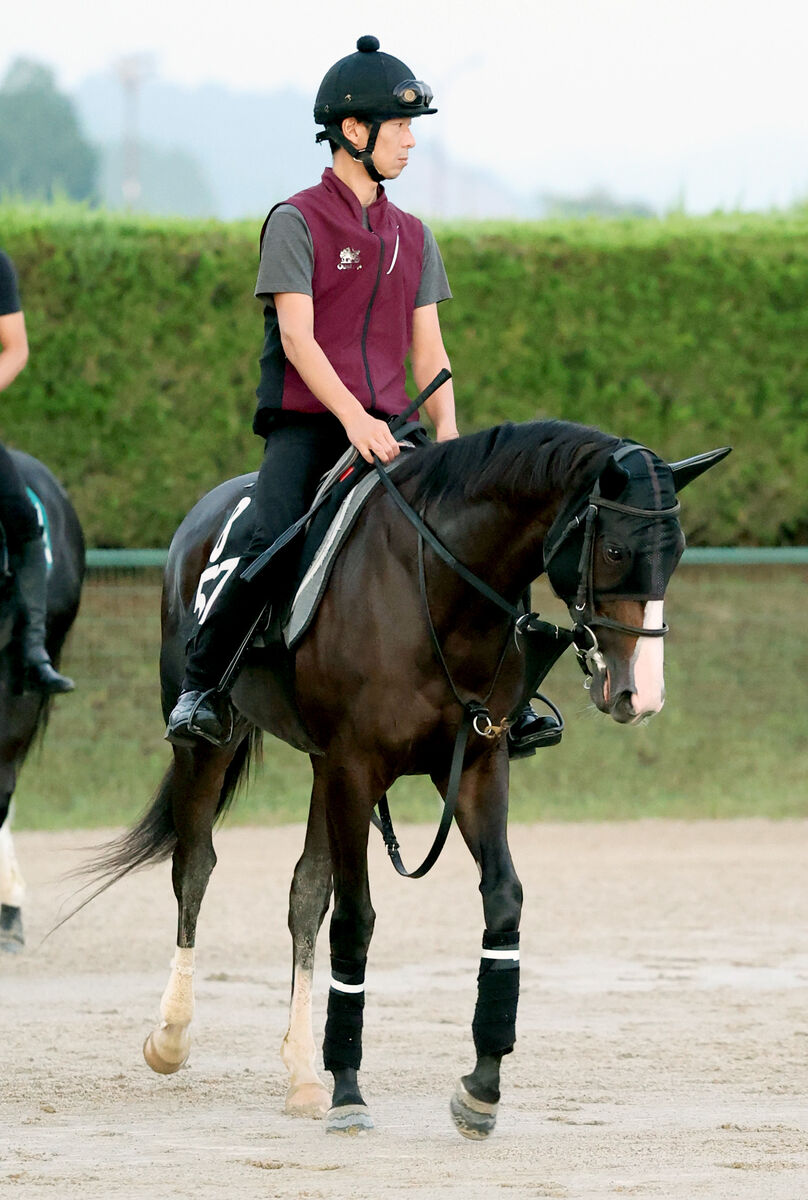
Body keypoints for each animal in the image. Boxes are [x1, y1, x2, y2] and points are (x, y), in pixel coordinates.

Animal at [86, 420, 725, 1132]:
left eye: (676, 555)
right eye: (614, 549)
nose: (642, 694)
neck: (437, 593)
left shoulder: (473, 765)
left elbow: (502, 899)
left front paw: (482, 1084)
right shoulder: (356, 766)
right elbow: (355, 919)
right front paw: (349, 1090)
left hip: (323, 768)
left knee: (305, 892)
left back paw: (302, 1073)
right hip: (214, 748)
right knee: (195, 867)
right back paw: (172, 1037)